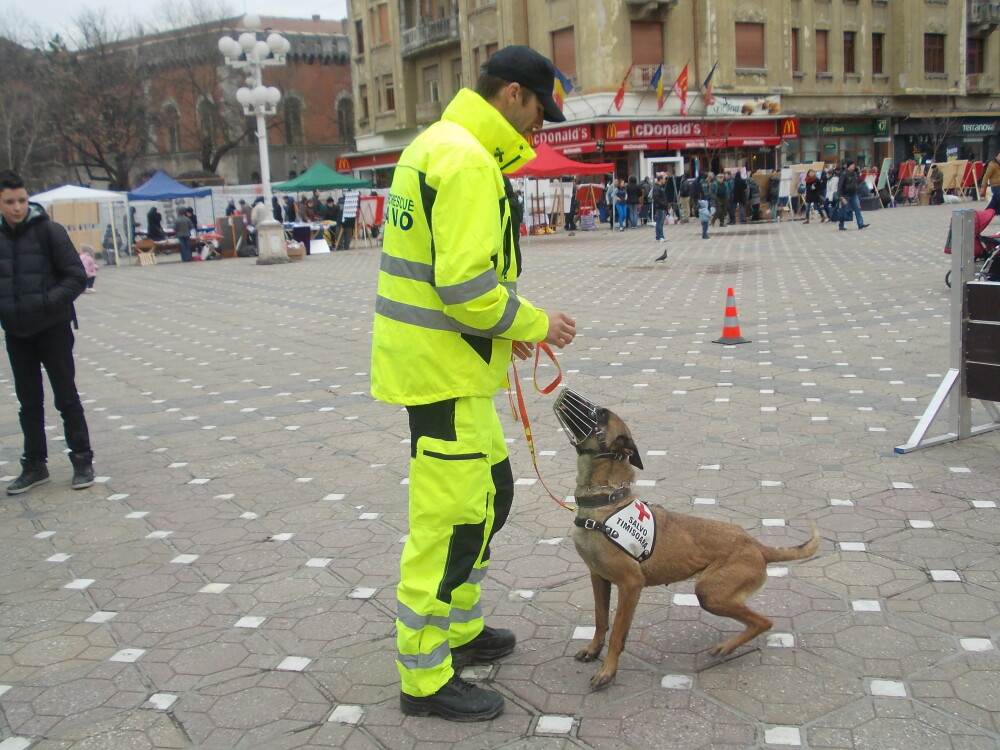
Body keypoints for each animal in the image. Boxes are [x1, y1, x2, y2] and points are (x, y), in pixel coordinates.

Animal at [556, 396, 820, 692]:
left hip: (709, 593)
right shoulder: (598, 578)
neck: (605, 502)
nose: (564, 394)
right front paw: (593, 650)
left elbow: (618, 635)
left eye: (602, 414)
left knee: (764, 622)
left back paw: (727, 647)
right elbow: (601, 620)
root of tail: (756, 545)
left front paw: (608, 671)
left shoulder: (631, 584)